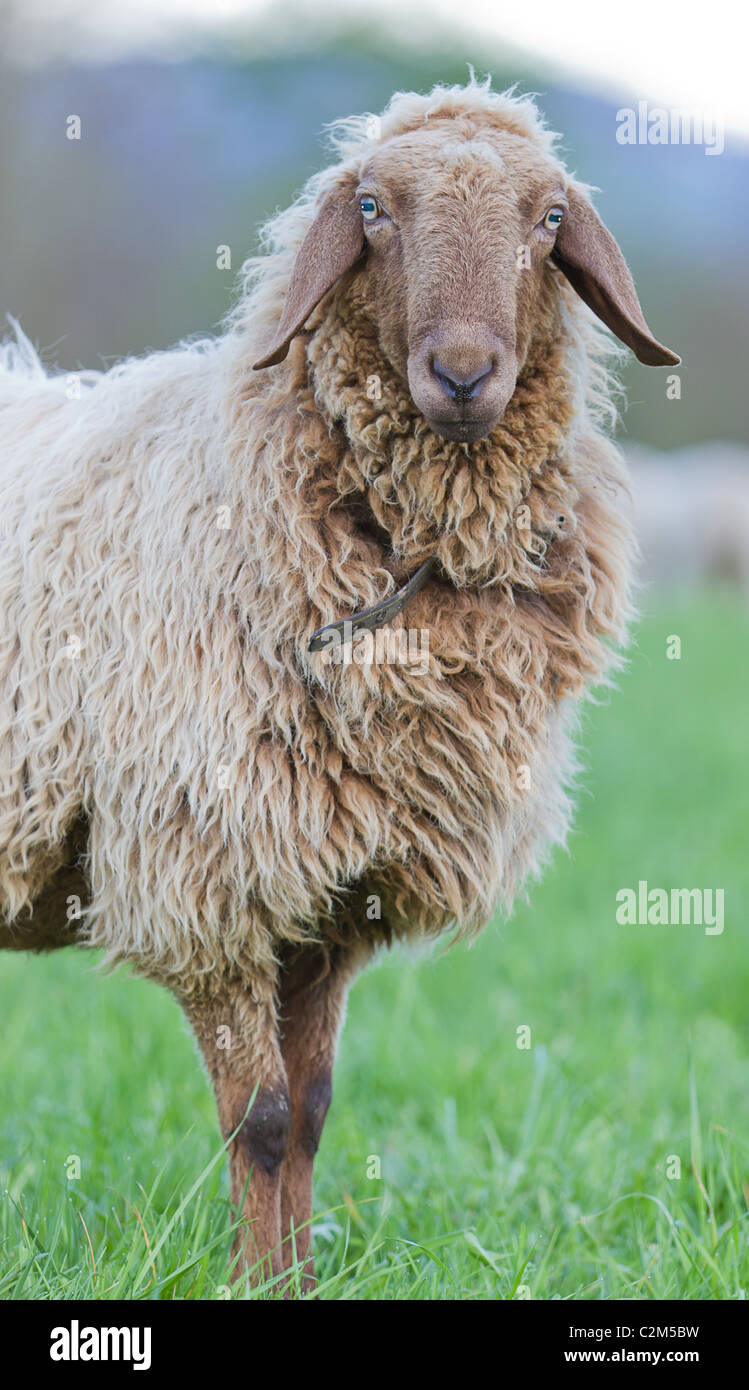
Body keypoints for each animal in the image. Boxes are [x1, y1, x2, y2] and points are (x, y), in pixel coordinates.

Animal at [0, 78, 680, 1289]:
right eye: (371, 207)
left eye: (549, 218)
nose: (462, 375)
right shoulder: (208, 877)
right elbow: (260, 1118)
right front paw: (255, 1284)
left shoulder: (330, 895)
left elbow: (312, 1111)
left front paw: (302, 1279)